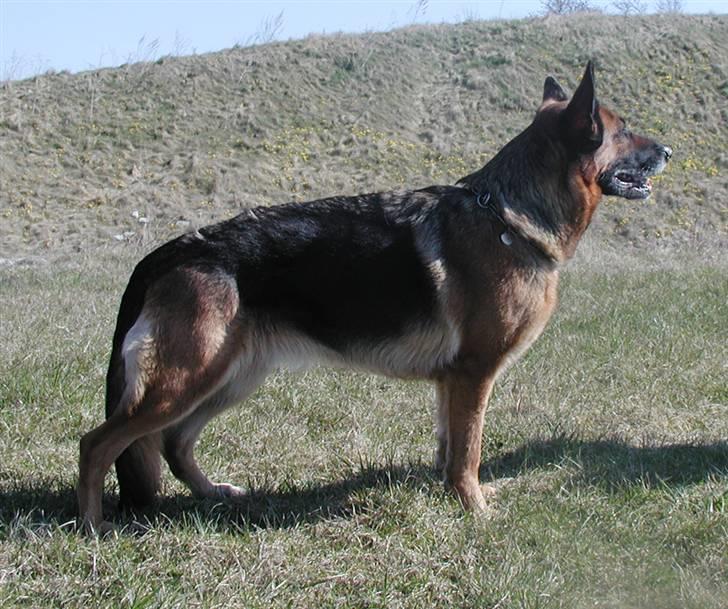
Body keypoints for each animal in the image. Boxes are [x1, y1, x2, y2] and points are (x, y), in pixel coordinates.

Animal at [79, 63, 672, 532]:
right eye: (623, 131)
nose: (668, 150)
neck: (508, 218)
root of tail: (168, 252)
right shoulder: (474, 373)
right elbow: (470, 451)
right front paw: (476, 511)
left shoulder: (453, 381)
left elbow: (450, 448)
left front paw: (450, 497)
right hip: (187, 379)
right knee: (97, 443)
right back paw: (92, 527)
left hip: (227, 378)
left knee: (175, 444)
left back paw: (212, 495)